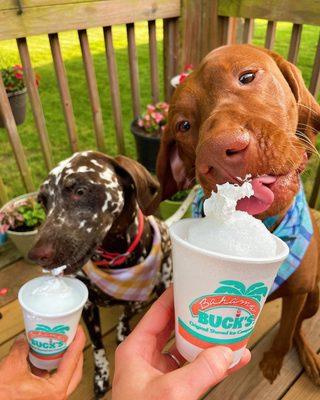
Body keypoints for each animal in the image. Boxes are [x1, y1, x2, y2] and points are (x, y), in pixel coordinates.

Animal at [27, 152, 172, 398]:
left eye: (80, 191)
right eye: (43, 201)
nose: (36, 256)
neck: (113, 262)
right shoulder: (87, 308)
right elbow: (97, 346)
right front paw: (101, 375)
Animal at [158, 44, 320, 384]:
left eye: (247, 76)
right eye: (183, 125)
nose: (218, 153)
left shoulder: (299, 292)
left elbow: (286, 332)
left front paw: (273, 361)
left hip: (314, 297)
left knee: (298, 327)